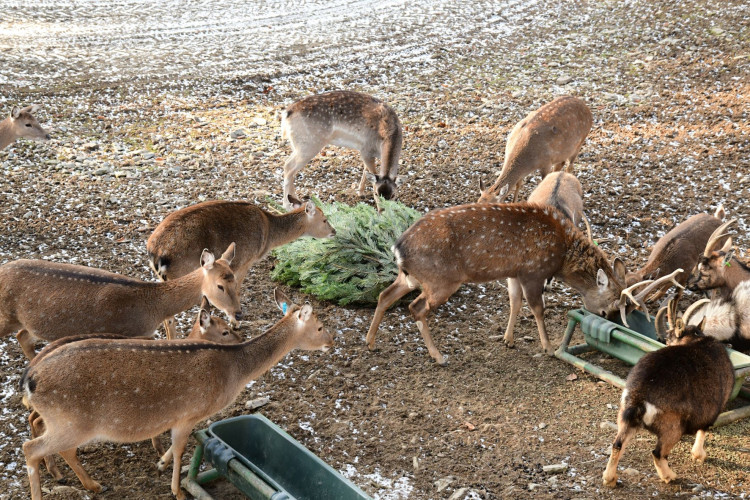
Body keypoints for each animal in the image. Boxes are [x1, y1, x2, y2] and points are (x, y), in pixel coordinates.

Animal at [0, 243, 241, 358]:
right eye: (220, 286)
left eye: (235, 279)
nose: (238, 313)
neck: (152, 307)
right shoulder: (131, 334)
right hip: (5, 316)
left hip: (33, 324)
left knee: (23, 336)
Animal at [147, 201, 334, 338]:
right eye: (324, 219)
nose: (334, 231)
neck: (269, 235)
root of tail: (157, 254)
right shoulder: (245, 262)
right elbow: (237, 290)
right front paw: (235, 323)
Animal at [604, 298, 736, 486]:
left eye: (667, 339)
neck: (695, 339)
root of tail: (639, 396)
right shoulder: (711, 410)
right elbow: (703, 430)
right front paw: (699, 455)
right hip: (672, 428)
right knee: (658, 453)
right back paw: (670, 476)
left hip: (625, 418)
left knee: (617, 445)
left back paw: (610, 479)